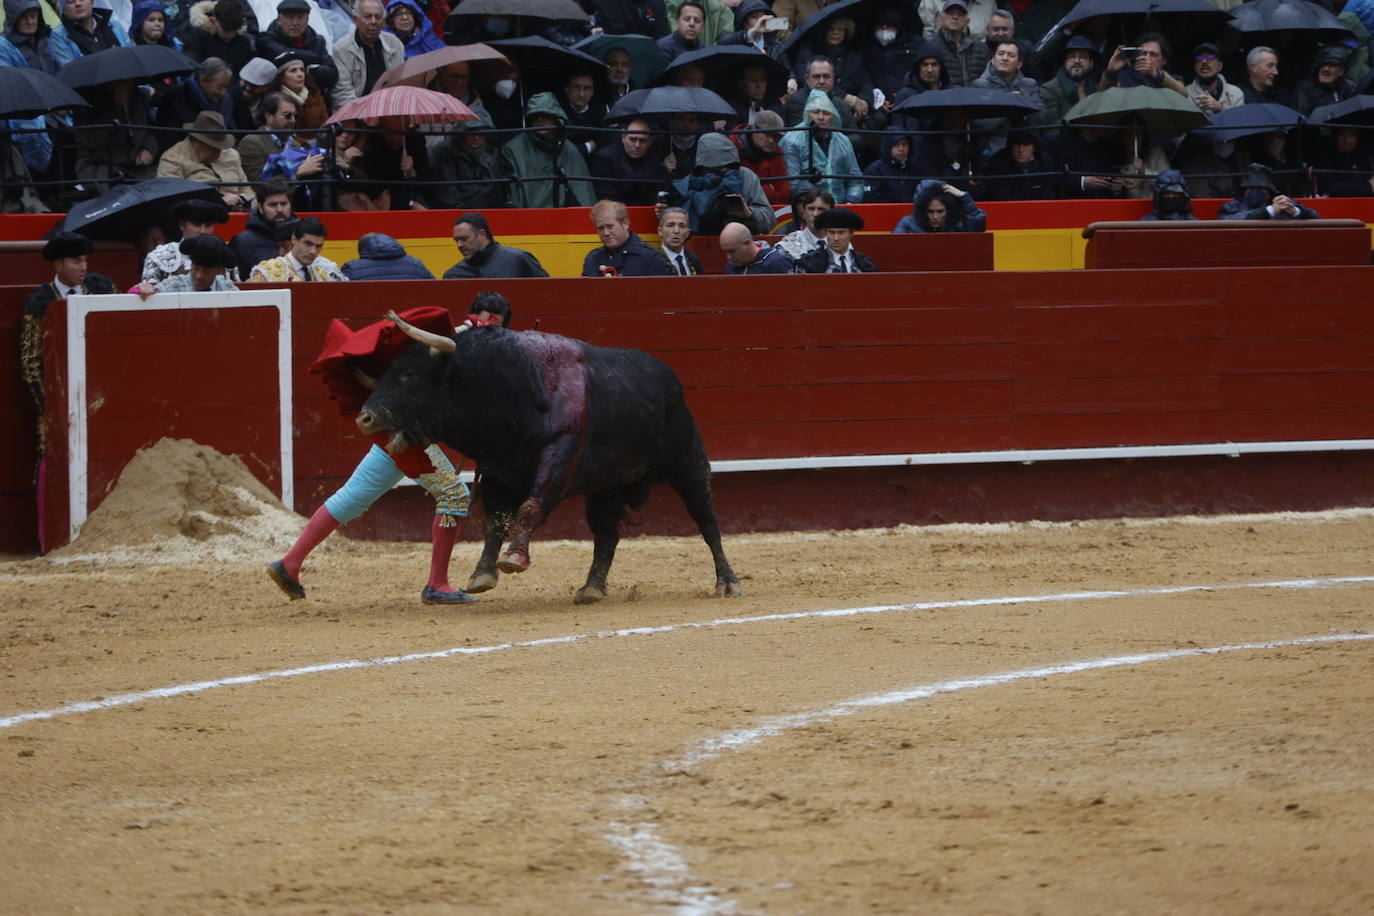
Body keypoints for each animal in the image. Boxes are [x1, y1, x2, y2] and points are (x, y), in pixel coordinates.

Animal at [354, 311, 741, 604]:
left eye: (410, 376)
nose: (365, 418)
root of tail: (668, 377)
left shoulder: (558, 460)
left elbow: (531, 506)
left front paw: (514, 558)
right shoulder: (497, 472)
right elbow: (496, 520)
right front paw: (483, 574)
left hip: (688, 463)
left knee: (707, 521)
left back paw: (727, 581)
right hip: (605, 487)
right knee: (606, 535)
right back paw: (591, 589)